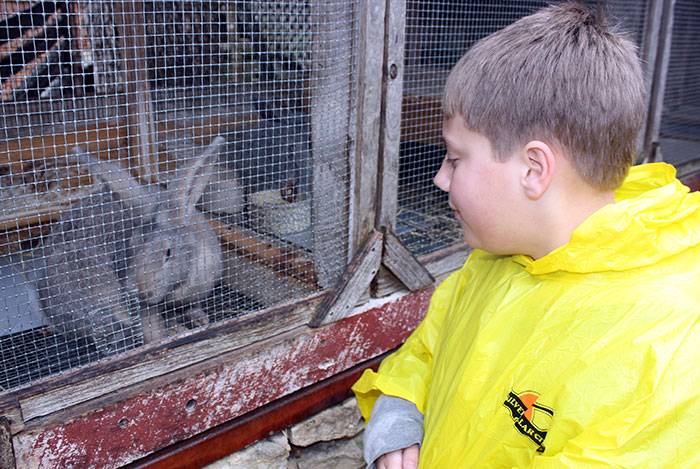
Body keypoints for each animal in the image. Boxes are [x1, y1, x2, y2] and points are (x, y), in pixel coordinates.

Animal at [36, 137, 224, 356]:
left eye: (168, 253)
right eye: (130, 248)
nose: (141, 291)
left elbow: (192, 307)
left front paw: (199, 319)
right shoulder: (143, 309)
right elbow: (151, 327)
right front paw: (168, 335)